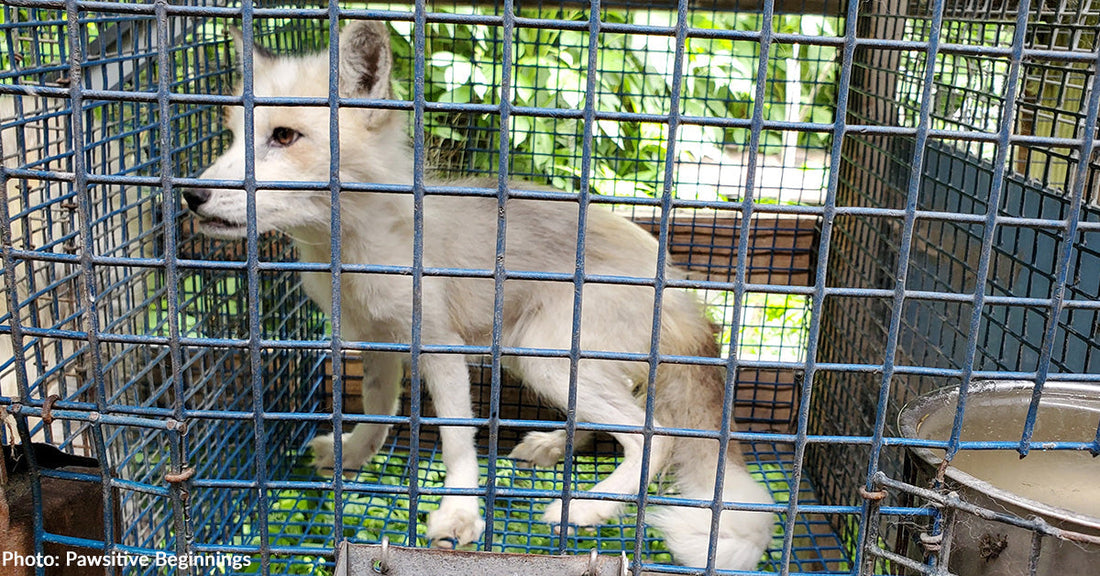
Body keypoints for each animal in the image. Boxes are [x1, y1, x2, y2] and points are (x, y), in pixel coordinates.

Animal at [184, 20, 774, 567]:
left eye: (284, 137)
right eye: (232, 136)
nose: (191, 194)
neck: (356, 252)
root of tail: (675, 281)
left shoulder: (438, 344)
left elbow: (456, 438)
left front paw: (460, 514)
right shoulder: (378, 341)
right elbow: (377, 411)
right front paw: (354, 454)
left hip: (544, 355)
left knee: (655, 435)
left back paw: (590, 507)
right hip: (538, 356)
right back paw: (554, 447)